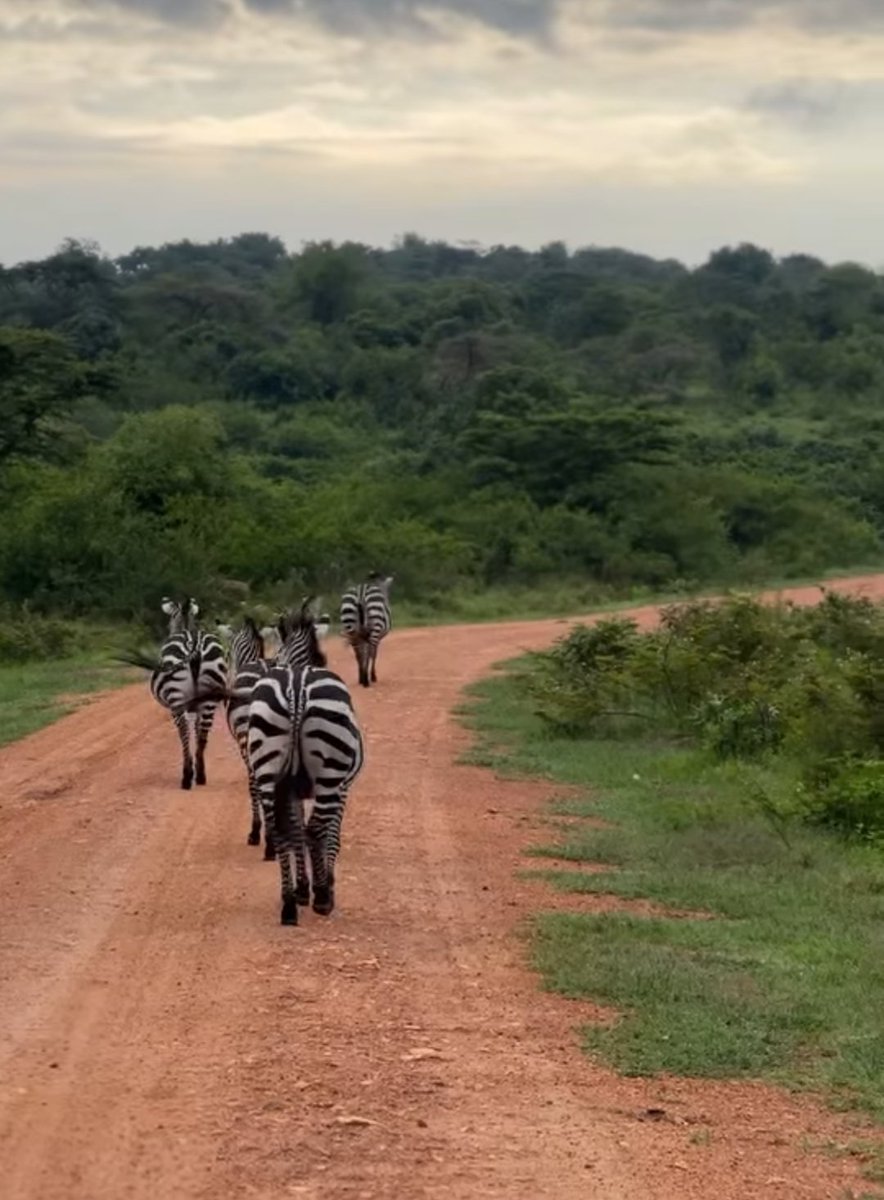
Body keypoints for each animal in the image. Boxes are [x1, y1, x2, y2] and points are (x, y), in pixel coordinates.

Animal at [124, 597, 227, 790]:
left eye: (168, 621)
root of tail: (194, 646)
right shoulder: (198, 706)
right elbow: (197, 731)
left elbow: (188, 732)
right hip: (209, 698)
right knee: (203, 735)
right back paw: (200, 776)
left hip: (176, 699)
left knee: (184, 732)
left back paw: (186, 777)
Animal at [225, 602, 328, 858]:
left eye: (229, 653)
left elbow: (253, 786)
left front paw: (256, 832)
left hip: (251, 739)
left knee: (258, 783)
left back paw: (268, 840)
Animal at [247, 661, 364, 925]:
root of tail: (296, 686)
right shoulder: (342, 788)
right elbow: (331, 838)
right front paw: (325, 885)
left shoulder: (291, 790)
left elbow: (295, 833)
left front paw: (300, 889)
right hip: (330, 770)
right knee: (315, 829)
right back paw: (322, 899)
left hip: (266, 765)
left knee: (280, 833)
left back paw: (289, 907)